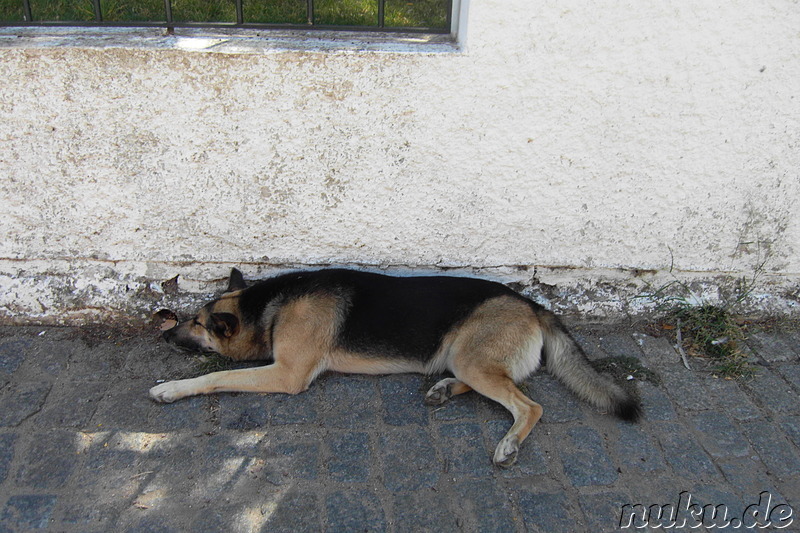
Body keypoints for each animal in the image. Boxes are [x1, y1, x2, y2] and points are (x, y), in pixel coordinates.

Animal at [148, 270, 636, 466]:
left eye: (197, 324)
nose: (164, 334)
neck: (269, 306)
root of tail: (533, 304)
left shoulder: (285, 374)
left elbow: (216, 376)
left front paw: (170, 388)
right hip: (464, 357)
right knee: (499, 384)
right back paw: (444, 389)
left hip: (470, 356)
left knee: (528, 405)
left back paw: (509, 444)